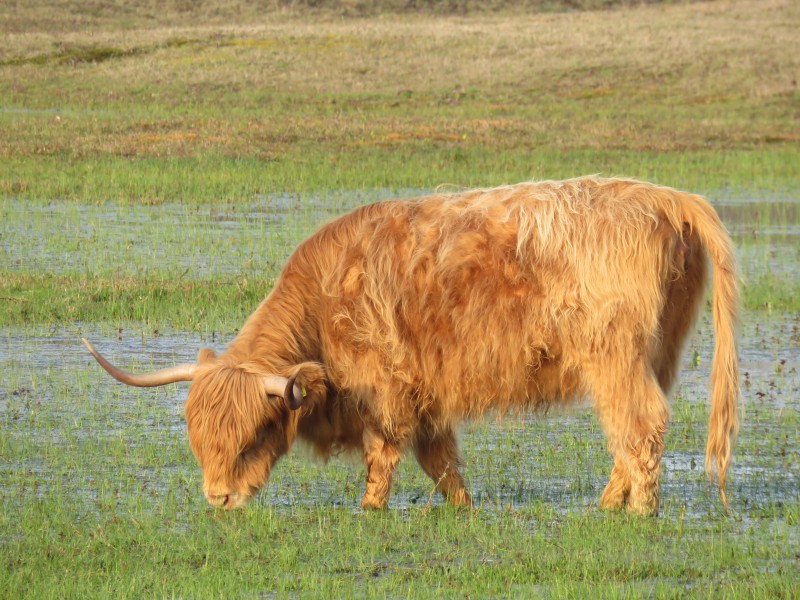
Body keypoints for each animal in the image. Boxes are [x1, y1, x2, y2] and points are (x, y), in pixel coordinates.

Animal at [83, 177, 740, 515]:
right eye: (198, 440)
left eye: (252, 435)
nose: (218, 498)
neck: (324, 301)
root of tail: (667, 196)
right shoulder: (426, 399)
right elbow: (442, 461)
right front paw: (464, 508)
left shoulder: (384, 391)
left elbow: (383, 457)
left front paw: (369, 512)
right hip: (657, 351)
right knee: (631, 429)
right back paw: (609, 502)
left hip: (613, 355)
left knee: (639, 422)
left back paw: (638, 511)